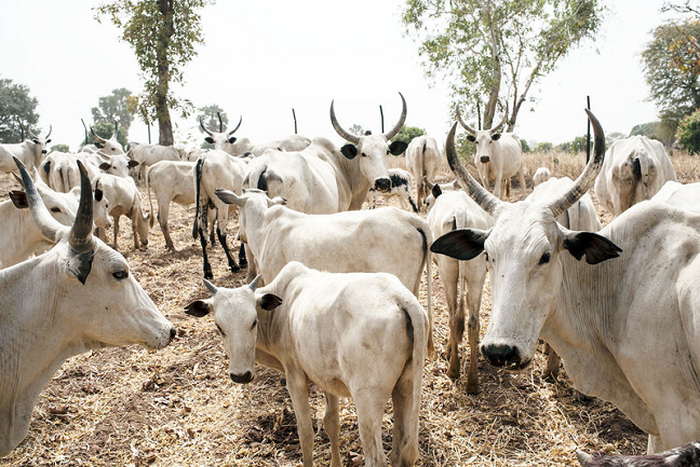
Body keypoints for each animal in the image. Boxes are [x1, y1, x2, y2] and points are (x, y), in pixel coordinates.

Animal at [184, 261, 429, 467]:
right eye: (219, 327)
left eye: (253, 322)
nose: (240, 375)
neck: (281, 310)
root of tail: (399, 296)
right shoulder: (328, 378)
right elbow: (331, 424)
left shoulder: (295, 378)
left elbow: (306, 433)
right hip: (405, 388)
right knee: (400, 452)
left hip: (367, 399)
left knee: (376, 458)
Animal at [193, 150, 247, 278]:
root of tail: (204, 156)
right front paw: (242, 259)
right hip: (222, 205)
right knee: (221, 233)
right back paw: (233, 264)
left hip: (202, 202)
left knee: (203, 234)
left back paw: (207, 270)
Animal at [426, 183, 492, 392]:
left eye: (427, 202)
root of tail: (461, 213)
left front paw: (448, 350)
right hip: (477, 272)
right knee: (473, 322)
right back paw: (472, 382)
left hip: (448, 271)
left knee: (454, 316)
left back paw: (453, 369)